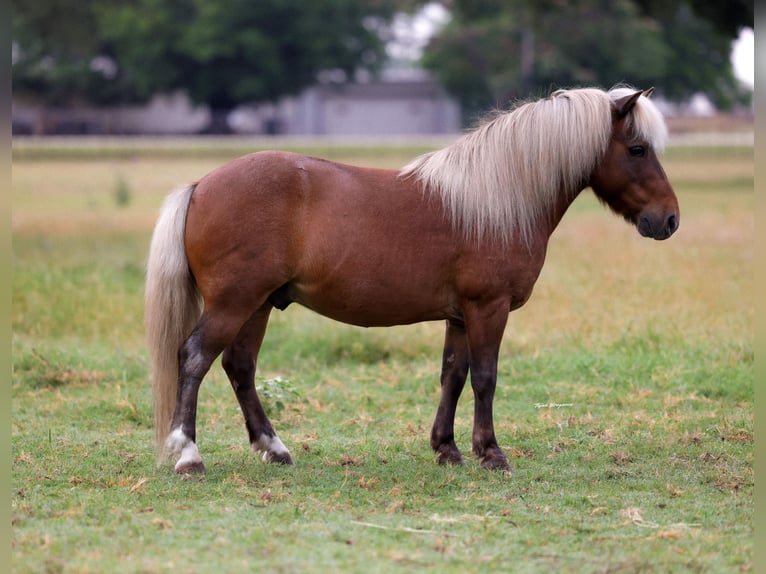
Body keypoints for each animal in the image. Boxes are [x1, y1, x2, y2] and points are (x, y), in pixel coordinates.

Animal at [145, 86, 679, 475]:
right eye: (637, 149)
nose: (669, 220)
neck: (496, 201)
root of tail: (202, 185)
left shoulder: (460, 315)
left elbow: (454, 376)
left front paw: (447, 449)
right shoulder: (488, 307)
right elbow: (485, 378)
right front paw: (491, 453)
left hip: (256, 305)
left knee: (240, 367)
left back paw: (274, 448)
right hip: (233, 303)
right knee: (194, 358)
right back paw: (189, 455)